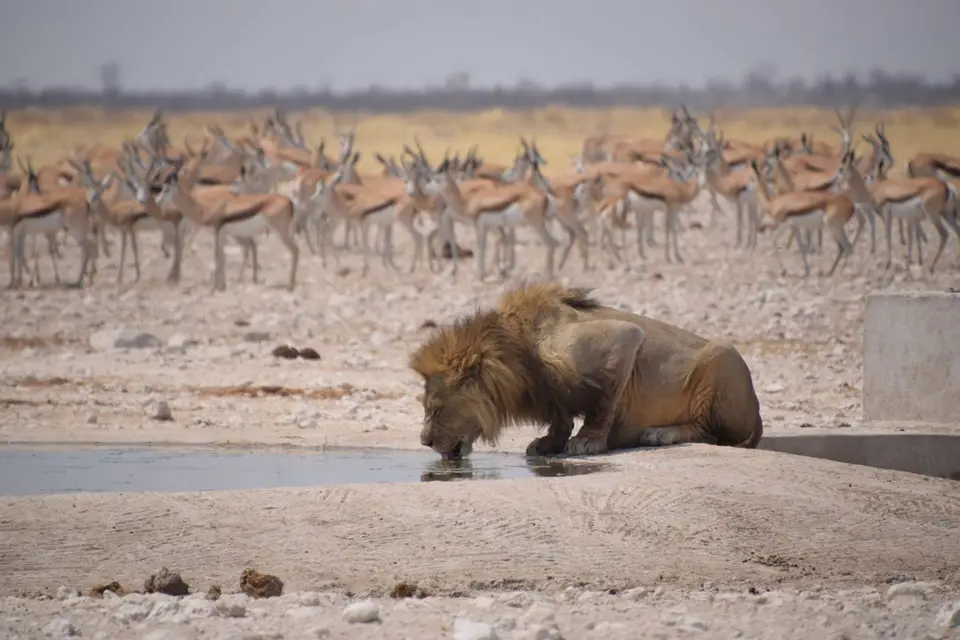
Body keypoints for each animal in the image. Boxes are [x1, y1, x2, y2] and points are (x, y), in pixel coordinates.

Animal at [409, 282, 763, 459]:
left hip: (723, 356)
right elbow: (560, 416)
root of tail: (758, 415)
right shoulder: (550, 393)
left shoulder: (621, 339)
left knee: (712, 432)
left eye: (436, 410)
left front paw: (587, 442)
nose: (424, 442)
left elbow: (603, 405)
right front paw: (548, 443)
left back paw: (662, 433)